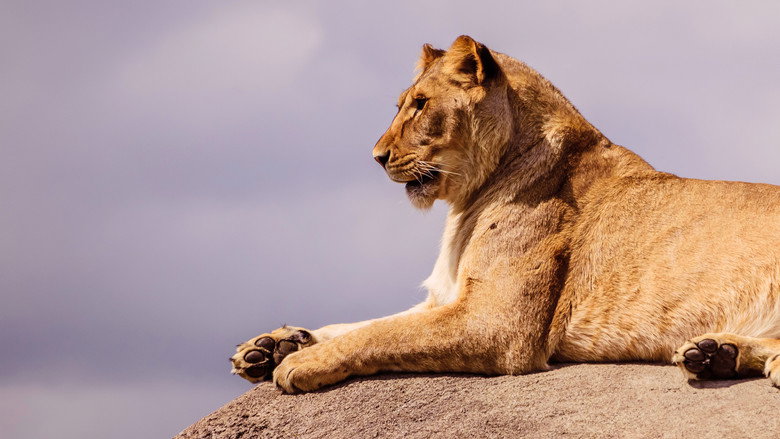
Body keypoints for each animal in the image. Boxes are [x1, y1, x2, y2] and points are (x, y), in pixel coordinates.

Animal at [230, 35, 780, 393]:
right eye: (401, 103)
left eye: (420, 105)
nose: (377, 156)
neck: (467, 201)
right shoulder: (447, 298)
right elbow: (363, 323)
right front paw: (271, 345)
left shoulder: (497, 324)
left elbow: (378, 333)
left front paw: (300, 363)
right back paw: (713, 355)